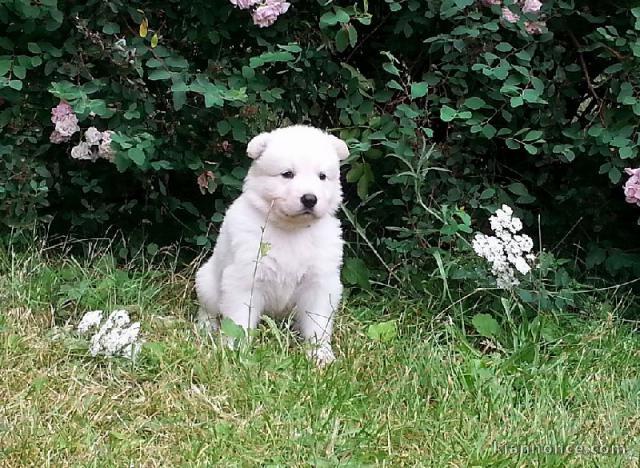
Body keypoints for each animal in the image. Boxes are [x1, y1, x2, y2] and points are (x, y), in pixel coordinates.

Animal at [195, 124, 348, 366]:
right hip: (207, 282)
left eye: (322, 176)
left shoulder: (319, 283)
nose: (310, 199)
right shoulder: (245, 279)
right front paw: (237, 352)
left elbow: (318, 323)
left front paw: (320, 355)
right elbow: (239, 320)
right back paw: (206, 328)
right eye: (287, 174)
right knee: (208, 309)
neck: (291, 230)